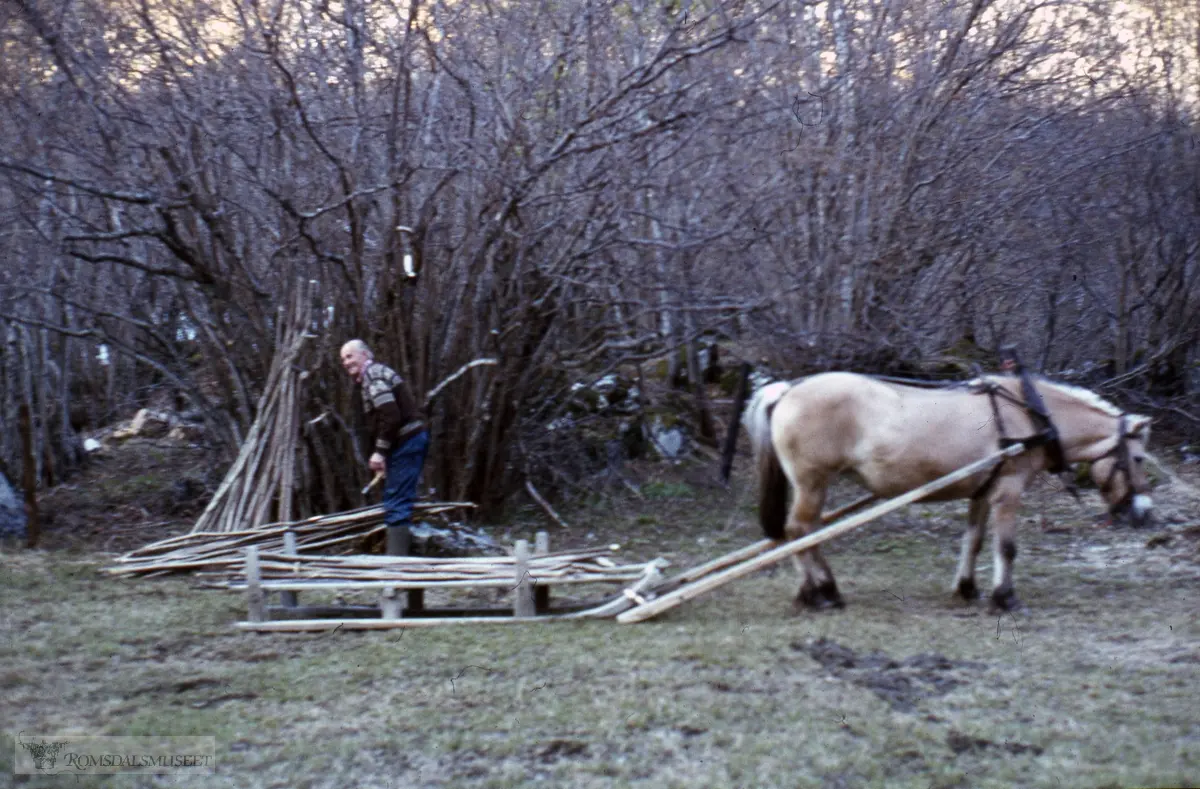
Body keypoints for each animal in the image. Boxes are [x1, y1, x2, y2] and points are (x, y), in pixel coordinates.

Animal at [739, 371, 1152, 611]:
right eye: (1139, 458)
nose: (1146, 513)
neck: (1028, 416)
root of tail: (787, 389)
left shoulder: (983, 492)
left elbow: (974, 541)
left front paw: (967, 588)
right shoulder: (1009, 491)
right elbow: (1006, 547)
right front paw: (1005, 598)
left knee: (803, 533)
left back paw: (821, 590)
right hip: (812, 483)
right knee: (800, 532)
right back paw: (819, 593)